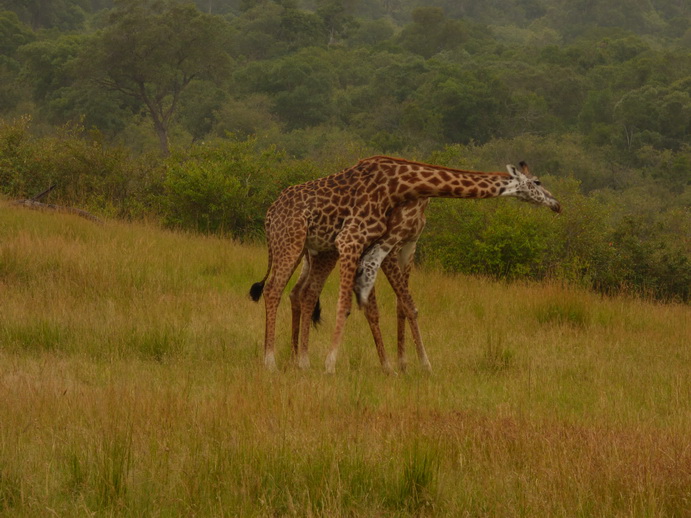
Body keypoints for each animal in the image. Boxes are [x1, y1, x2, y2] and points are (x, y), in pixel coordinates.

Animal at [250, 154, 564, 374]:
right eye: (537, 182)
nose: (556, 204)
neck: (399, 184)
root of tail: (270, 212)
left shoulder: (382, 246)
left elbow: (393, 306)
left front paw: (397, 365)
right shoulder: (354, 240)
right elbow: (351, 305)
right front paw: (332, 364)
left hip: (316, 250)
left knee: (303, 294)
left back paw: (300, 361)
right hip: (290, 242)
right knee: (274, 289)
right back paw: (271, 361)